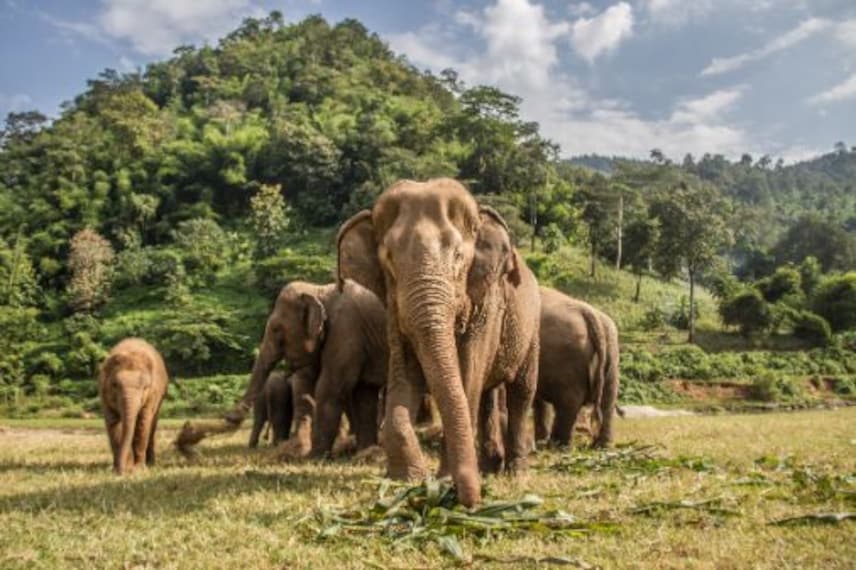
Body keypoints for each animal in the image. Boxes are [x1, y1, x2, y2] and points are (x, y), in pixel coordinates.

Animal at [99, 338, 169, 474]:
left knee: (152, 425)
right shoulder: (104, 396)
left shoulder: (152, 394)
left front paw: (139, 469)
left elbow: (143, 423)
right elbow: (113, 424)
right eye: (114, 385)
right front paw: (118, 469)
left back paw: (151, 464)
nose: (122, 471)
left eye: (145, 387)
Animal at [226, 279, 387, 459]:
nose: (230, 418)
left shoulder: (346, 333)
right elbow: (363, 392)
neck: (319, 290)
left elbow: (329, 388)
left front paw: (314, 458)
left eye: (276, 329)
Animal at [337, 178, 541, 507]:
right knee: (488, 394)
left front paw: (444, 479)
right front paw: (405, 480)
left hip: (531, 327)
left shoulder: (486, 305)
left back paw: (516, 474)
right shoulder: (394, 310)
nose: (471, 500)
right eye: (389, 259)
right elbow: (405, 373)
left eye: (458, 256)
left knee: (521, 392)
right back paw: (489, 468)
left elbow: (467, 373)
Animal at [533, 287, 620, 448]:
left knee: (569, 401)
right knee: (608, 400)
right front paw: (539, 441)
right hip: (612, 352)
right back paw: (601, 446)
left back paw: (557, 446)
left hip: (565, 357)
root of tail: (590, 313)